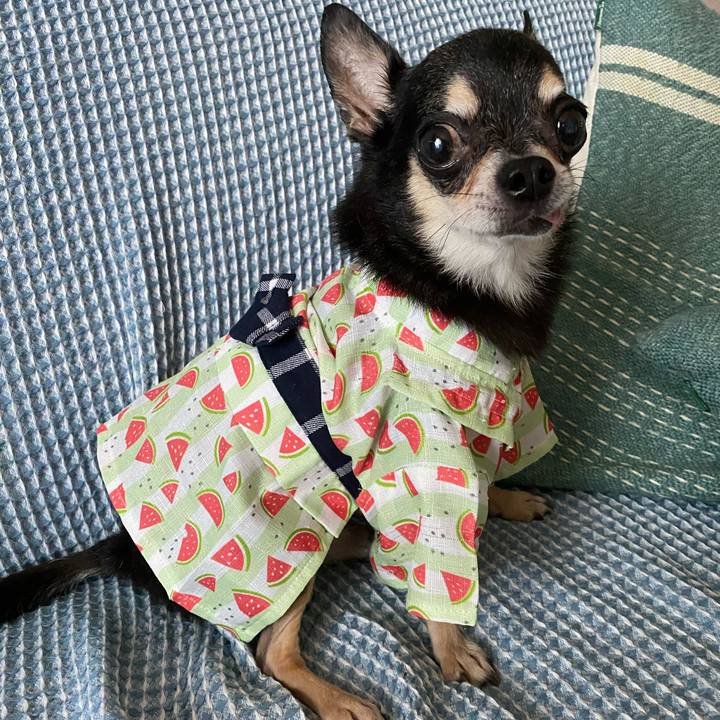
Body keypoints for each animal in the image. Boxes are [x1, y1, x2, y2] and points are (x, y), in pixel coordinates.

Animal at [0, 6, 586, 719]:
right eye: (438, 145)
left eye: (572, 123)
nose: (532, 171)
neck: (470, 290)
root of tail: (126, 554)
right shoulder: (420, 456)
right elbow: (440, 562)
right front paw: (453, 651)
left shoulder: (486, 421)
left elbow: (483, 480)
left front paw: (508, 499)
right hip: (286, 530)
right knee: (272, 654)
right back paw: (340, 701)